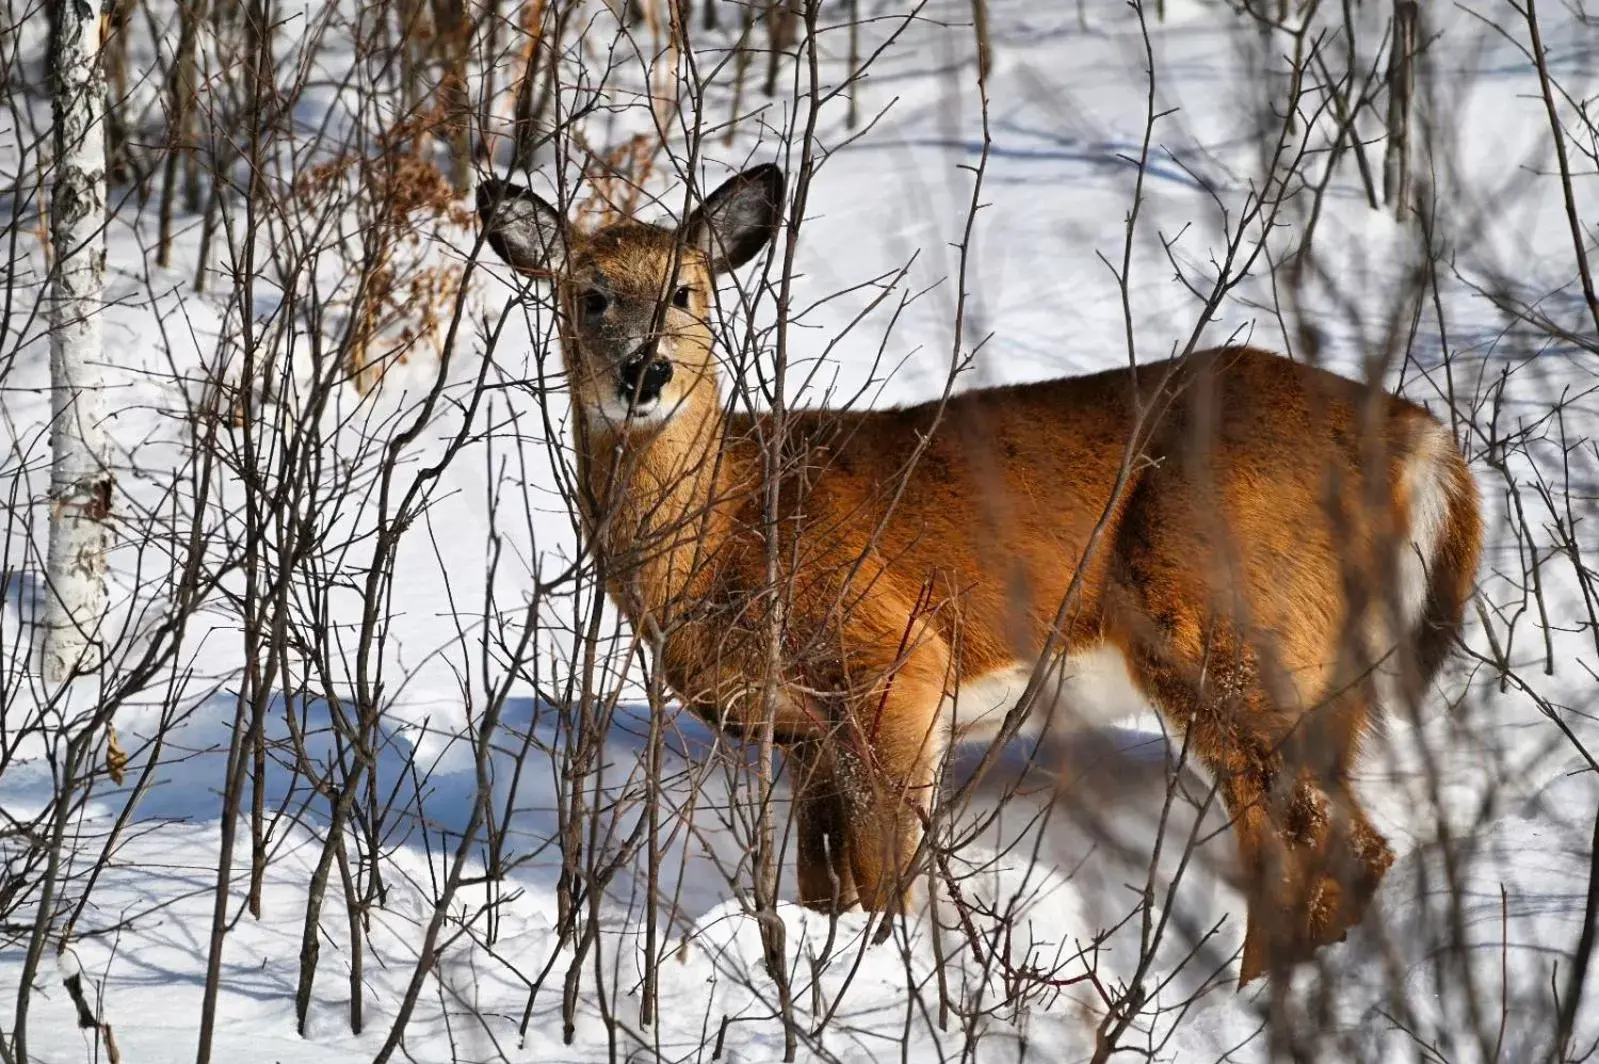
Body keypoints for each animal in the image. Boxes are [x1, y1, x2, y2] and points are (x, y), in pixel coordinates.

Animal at [473, 161, 1483, 985]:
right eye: (590, 296)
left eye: (685, 292)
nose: (645, 373)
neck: (727, 530)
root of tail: (1419, 439)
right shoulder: (800, 735)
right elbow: (821, 884)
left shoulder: (892, 660)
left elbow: (888, 880)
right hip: (1324, 673)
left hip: (1228, 630)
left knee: (1319, 840)